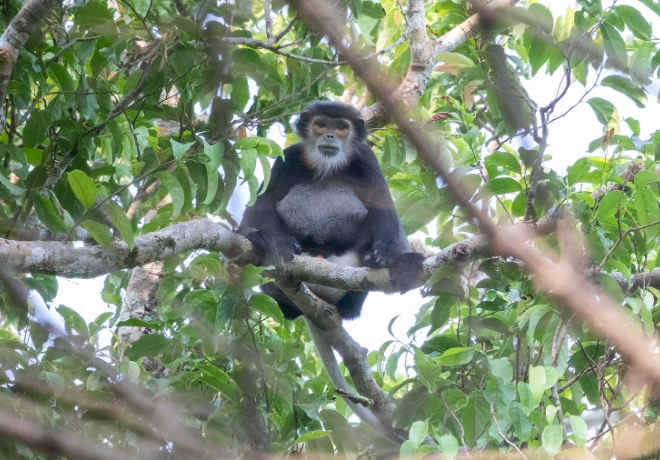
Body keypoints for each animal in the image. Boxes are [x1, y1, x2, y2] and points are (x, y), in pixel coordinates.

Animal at [237, 100, 422, 320]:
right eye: (321, 125)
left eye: (342, 127)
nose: (330, 136)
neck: (326, 167)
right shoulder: (288, 158)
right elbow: (262, 203)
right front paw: (277, 242)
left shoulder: (366, 158)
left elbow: (382, 204)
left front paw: (387, 252)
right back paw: (257, 240)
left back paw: (398, 263)